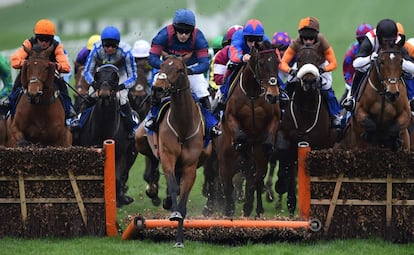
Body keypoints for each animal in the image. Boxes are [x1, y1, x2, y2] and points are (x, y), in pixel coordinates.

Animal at [71, 63, 136, 207]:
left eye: (115, 78)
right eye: (97, 77)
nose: (104, 93)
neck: (103, 131)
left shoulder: (119, 155)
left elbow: (116, 179)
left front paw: (119, 200)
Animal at [135, 54, 209, 247]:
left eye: (180, 70)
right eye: (161, 66)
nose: (157, 89)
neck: (182, 125)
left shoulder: (190, 167)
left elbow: (182, 201)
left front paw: (179, 240)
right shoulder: (168, 158)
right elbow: (174, 186)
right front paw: (172, 208)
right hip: (140, 140)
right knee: (153, 162)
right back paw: (153, 187)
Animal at [215, 41, 284, 217]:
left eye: (277, 62)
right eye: (261, 63)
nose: (273, 94)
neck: (252, 93)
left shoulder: (274, 117)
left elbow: (269, 133)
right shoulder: (230, 115)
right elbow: (239, 134)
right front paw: (241, 143)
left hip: (257, 166)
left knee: (255, 183)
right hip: (225, 163)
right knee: (228, 186)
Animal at [274, 44, 336, 216]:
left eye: (317, 59)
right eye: (299, 59)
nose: (309, 81)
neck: (306, 111)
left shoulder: (318, 146)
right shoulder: (286, 138)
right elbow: (284, 156)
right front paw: (284, 190)